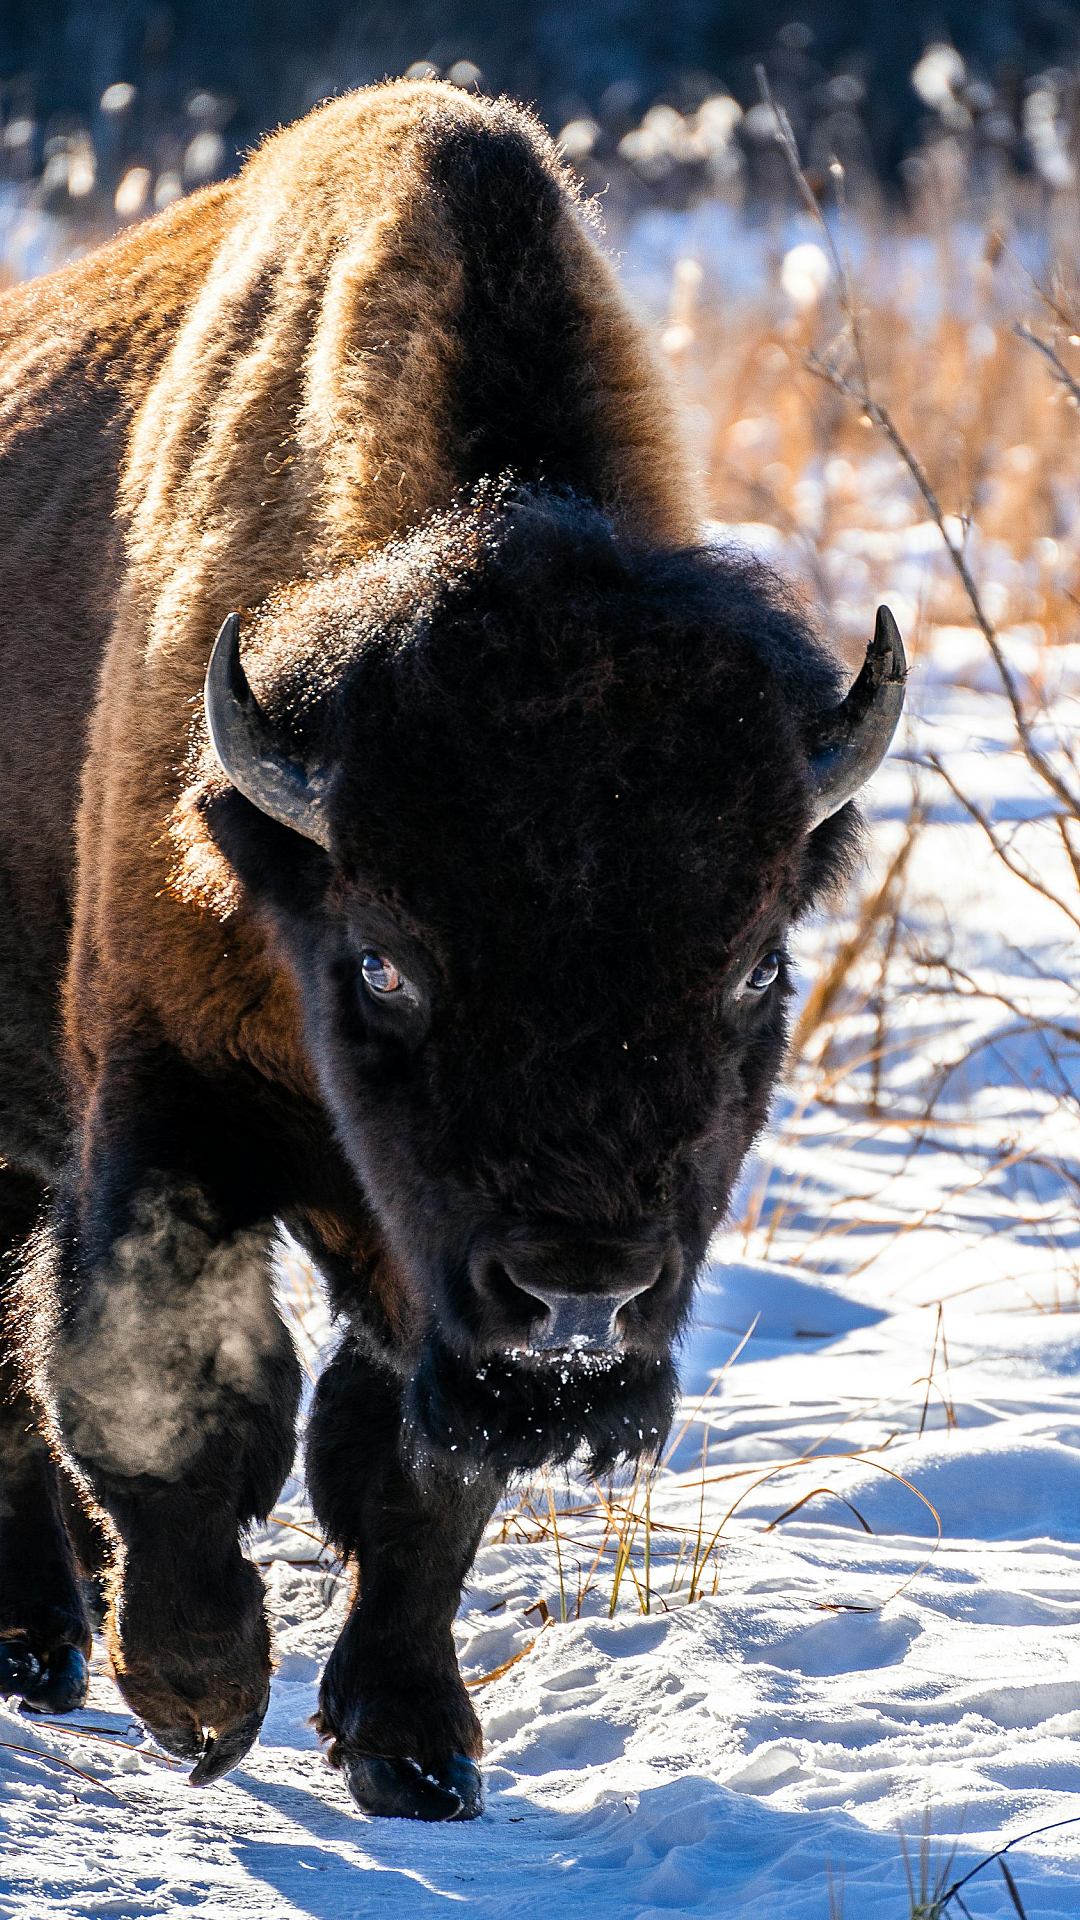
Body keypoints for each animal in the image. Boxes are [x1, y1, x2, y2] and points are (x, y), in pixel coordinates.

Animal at [0, 80, 904, 1821]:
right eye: (386, 964)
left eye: (757, 967)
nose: (580, 1300)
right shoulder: (158, 1088)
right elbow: (161, 1381)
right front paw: (200, 1696)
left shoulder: (431, 1280)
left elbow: (410, 1468)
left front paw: (413, 1747)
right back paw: (36, 1641)